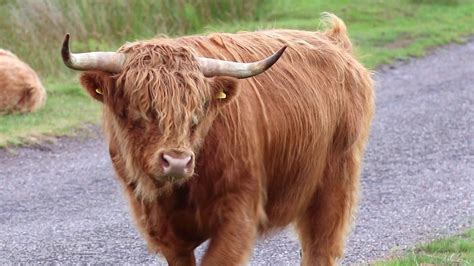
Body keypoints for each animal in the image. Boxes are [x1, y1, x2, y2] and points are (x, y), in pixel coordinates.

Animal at [62, 13, 374, 266]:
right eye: (139, 108)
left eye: (199, 109)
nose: (177, 162)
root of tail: (331, 39)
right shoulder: (163, 229)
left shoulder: (239, 212)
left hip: (334, 182)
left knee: (319, 247)